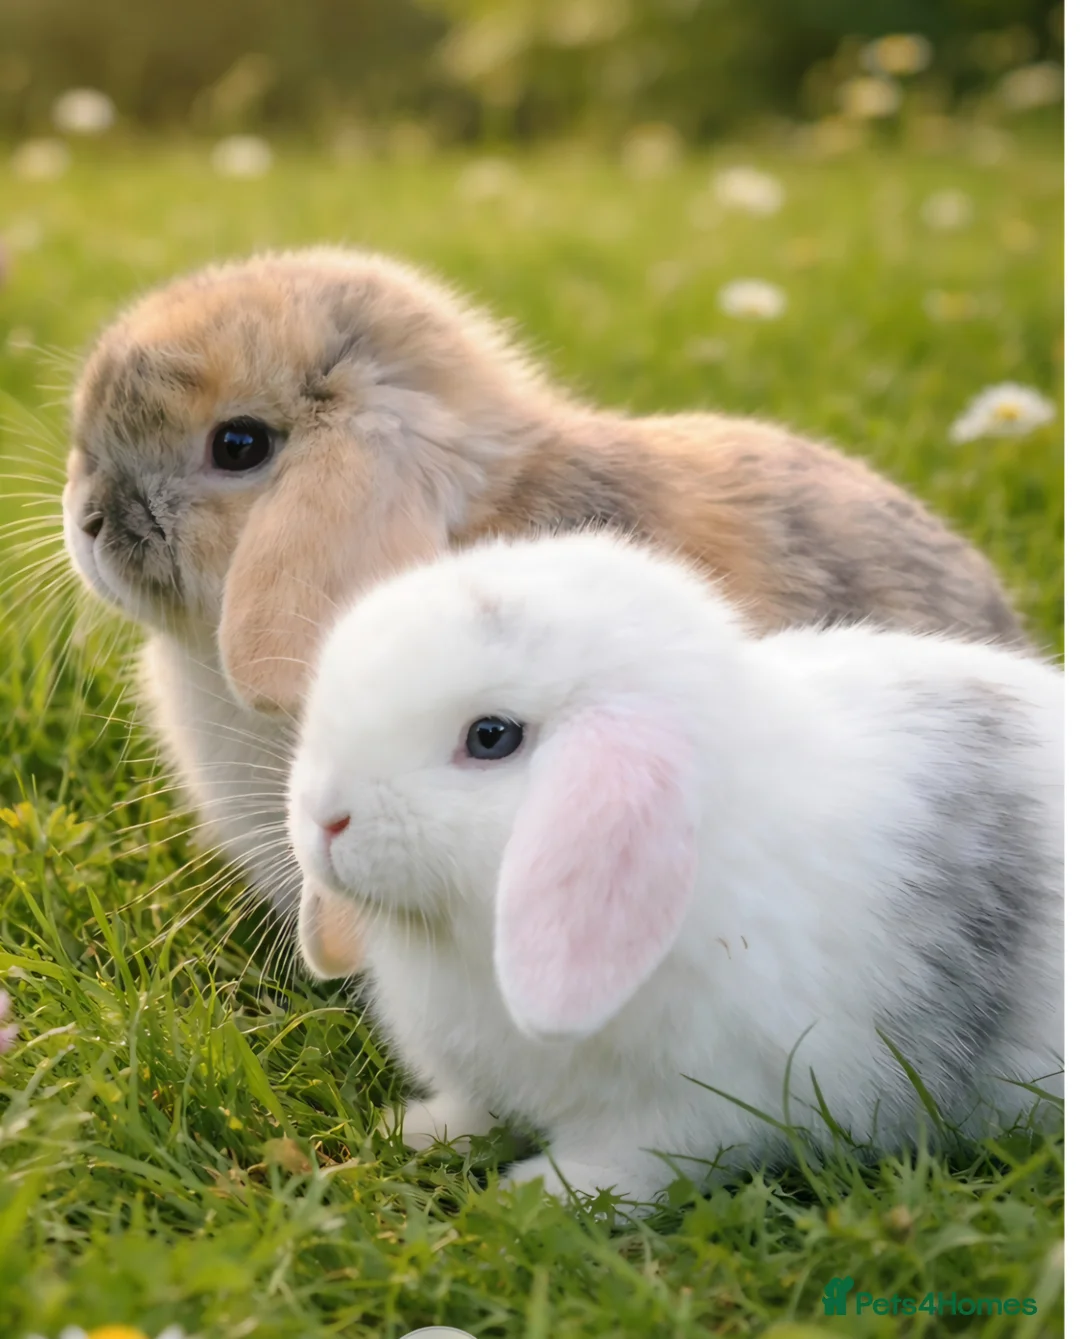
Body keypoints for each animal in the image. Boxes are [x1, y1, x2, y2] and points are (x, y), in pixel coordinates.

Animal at [285, 529, 1063, 1206]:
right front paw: (418, 1130)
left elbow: (635, 1160)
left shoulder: (693, 1102)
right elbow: (477, 1108)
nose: (326, 817)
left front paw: (542, 1196)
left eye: (491, 736)